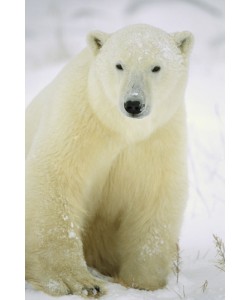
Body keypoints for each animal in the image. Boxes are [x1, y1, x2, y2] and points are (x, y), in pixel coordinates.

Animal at [25, 24, 193, 298]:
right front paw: (77, 281)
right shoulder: (78, 120)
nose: (133, 104)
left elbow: (155, 196)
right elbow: (55, 177)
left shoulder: (158, 137)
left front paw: (143, 282)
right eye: (119, 65)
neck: (120, 127)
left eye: (156, 67)